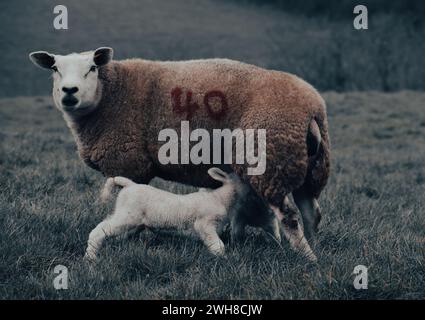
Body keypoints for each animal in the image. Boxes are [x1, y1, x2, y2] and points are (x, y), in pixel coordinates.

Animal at [83, 166, 282, 262]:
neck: (221, 199)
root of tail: (129, 185)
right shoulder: (204, 224)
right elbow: (218, 245)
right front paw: (225, 259)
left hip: (131, 220)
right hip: (127, 216)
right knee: (98, 230)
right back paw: (90, 257)